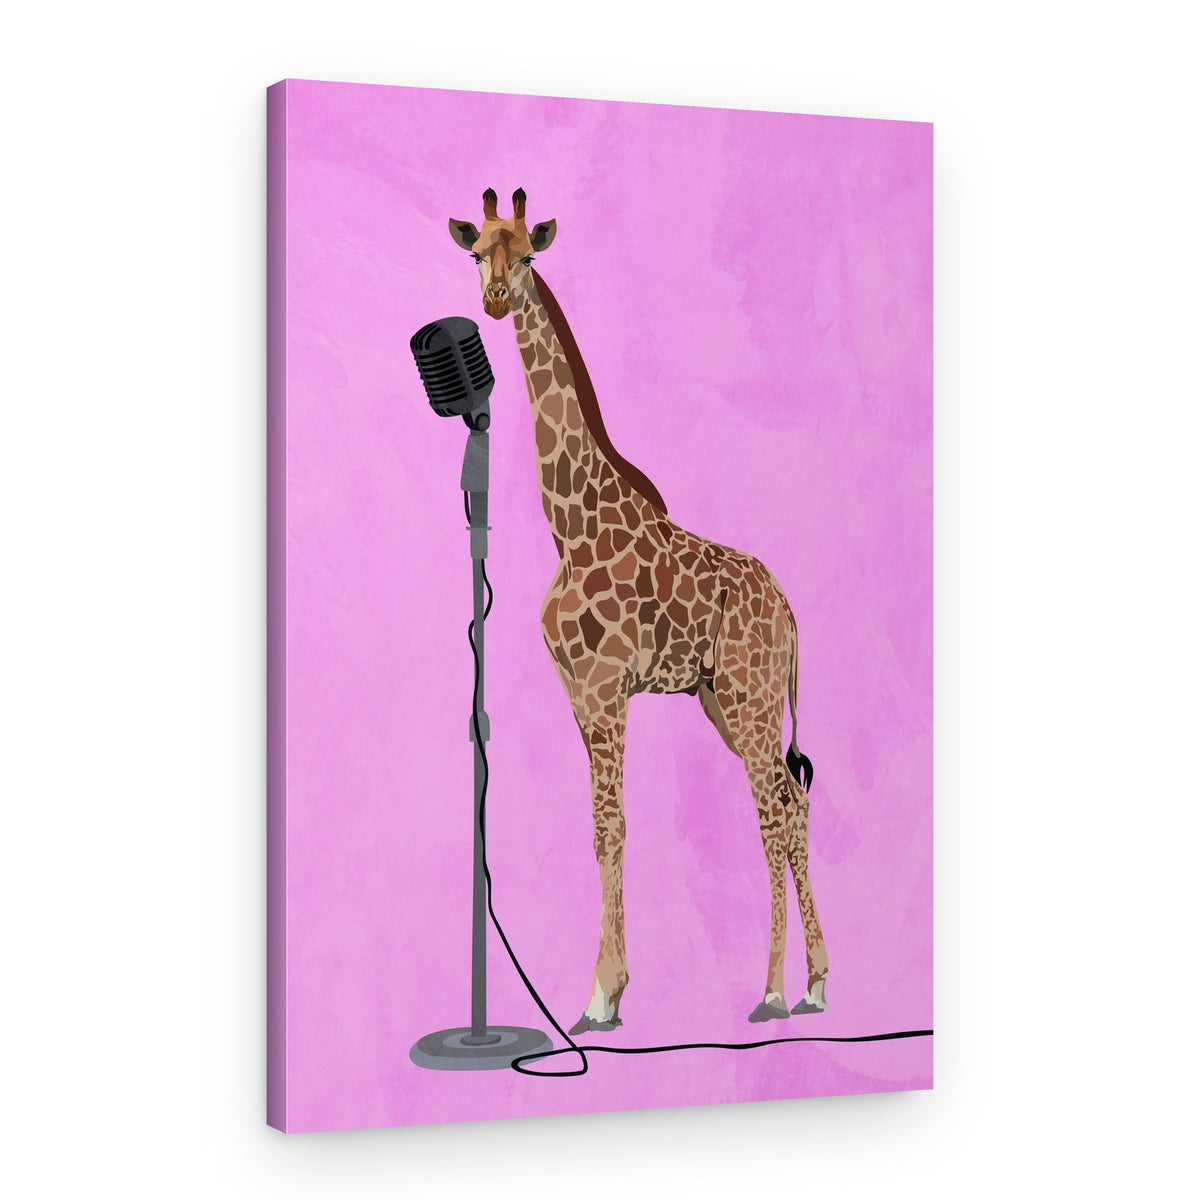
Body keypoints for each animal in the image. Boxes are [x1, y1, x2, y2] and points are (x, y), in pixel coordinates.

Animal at [447, 188, 829, 1030]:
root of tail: (790, 612)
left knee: (774, 811)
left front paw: (599, 995)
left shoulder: (606, 687)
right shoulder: (578, 693)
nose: (495, 299)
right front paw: (606, 989)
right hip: (724, 700)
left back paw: (773, 991)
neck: (571, 522)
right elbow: (600, 826)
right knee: (792, 803)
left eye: (529, 253)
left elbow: (611, 826)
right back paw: (818, 982)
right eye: (476, 253)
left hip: (751, 699)